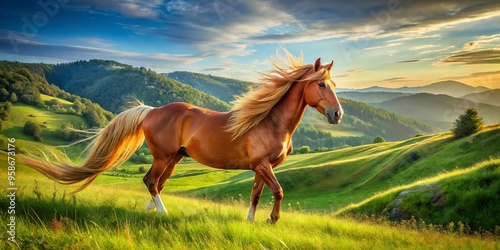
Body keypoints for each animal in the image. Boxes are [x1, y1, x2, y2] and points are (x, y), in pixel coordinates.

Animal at [19, 49, 344, 225]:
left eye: (333, 85)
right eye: (321, 85)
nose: (338, 115)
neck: (270, 122)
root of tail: (151, 110)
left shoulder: (261, 167)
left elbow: (256, 194)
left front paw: (251, 221)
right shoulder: (262, 165)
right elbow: (278, 192)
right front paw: (272, 220)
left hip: (174, 158)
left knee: (156, 183)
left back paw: (150, 210)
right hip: (164, 156)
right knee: (151, 181)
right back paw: (162, 212)